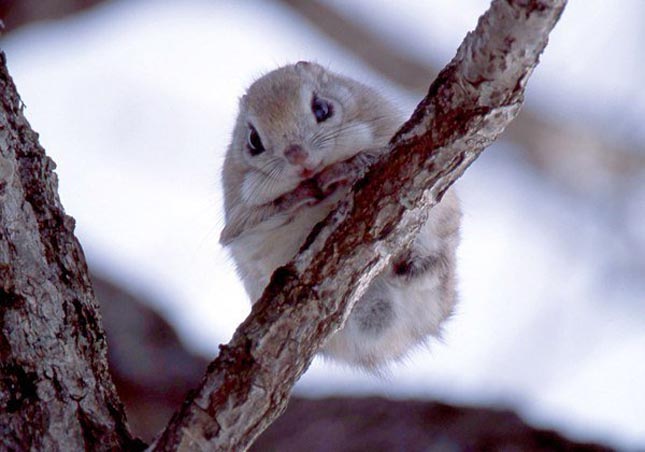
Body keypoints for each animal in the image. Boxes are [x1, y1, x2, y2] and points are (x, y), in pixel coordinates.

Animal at [219, 61, 460, 370]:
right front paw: (302, 193)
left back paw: (415, 265)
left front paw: (345, 168)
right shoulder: (238, 220)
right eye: (253, 141)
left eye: (322, 109)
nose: (298, 157)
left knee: (435, 266)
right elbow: (261, 216)